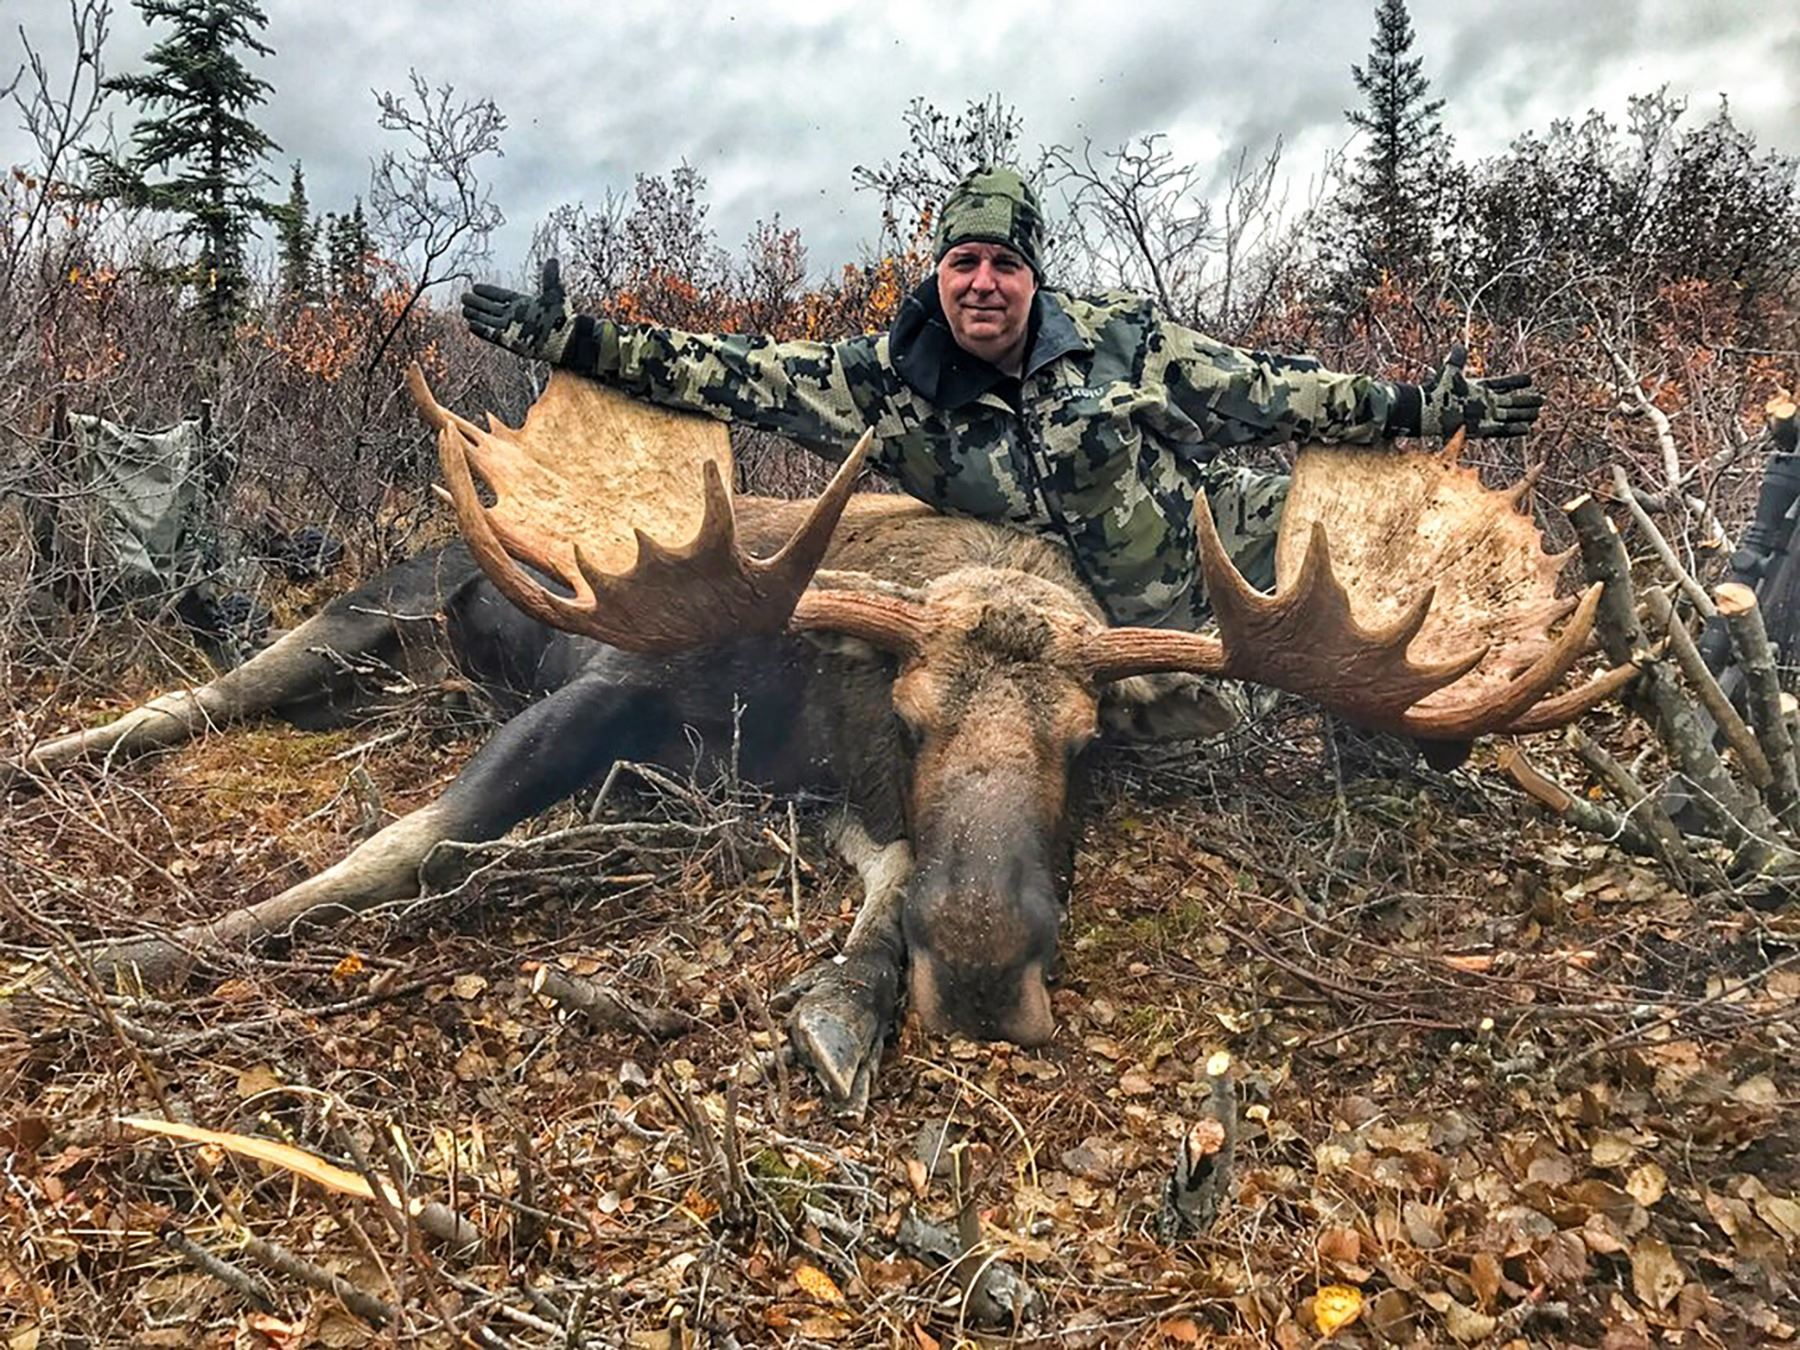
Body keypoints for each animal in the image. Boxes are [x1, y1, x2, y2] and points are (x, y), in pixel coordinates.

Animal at [18, 369, 1633, 1107]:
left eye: (1088, 744)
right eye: (911, 713)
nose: (980, 962)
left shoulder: (825, 797)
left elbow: (885, 876)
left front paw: (851, 995)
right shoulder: (612, 681)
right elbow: (409, 839)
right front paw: (134, 954)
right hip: (371, 605)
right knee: (200, 693)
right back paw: (41, 761)